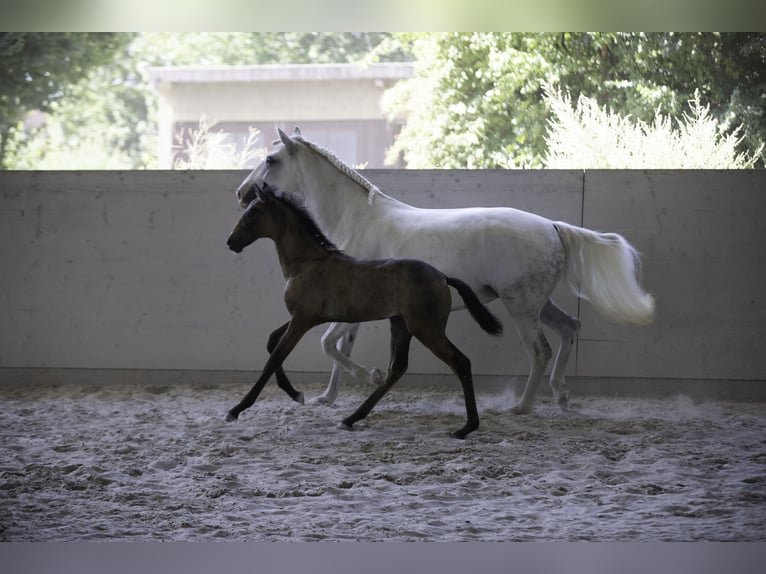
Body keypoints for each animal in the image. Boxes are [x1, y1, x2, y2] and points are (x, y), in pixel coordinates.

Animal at [234, 128, 656, 414]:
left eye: (271, 161)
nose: (242, 193)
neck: (357, 220)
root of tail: (553, 226)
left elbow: (328, 344)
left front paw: (369, 377)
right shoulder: (350, 309)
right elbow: (337, 347)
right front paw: (328, 396)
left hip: (521, 308)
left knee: (540, 350)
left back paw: (520, 407)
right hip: (537, 304)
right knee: (569, 328)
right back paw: (562, 395)